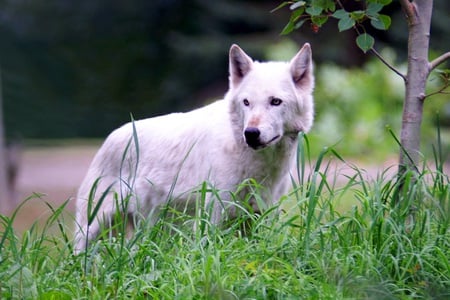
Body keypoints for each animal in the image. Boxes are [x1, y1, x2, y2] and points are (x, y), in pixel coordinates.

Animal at [73, 42, 312, 253]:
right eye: (246, 102)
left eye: (275, 101)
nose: (251, 134)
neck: (261, 166)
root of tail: (109, 138)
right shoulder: (213, 214)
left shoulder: (261, 216)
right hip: (91, 229)